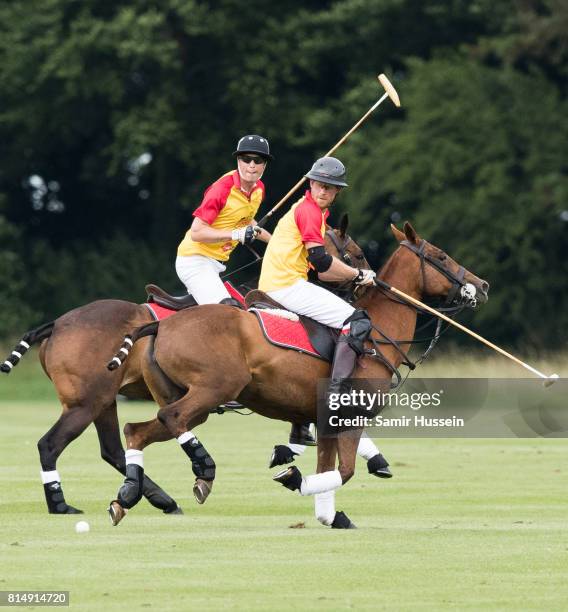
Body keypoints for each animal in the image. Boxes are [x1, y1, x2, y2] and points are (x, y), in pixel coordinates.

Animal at [0, 218, 364, 512]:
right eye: (357, 254)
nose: (360, 287)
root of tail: (57, 323)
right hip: (85, 401)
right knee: (51, 444)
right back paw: (62, 504)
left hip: (103, 400)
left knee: (113, 448)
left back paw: (160, 499)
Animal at [105, 222, 488, 528]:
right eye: (440, 256)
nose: (481, 285)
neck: (377, 334)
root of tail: (159, 324)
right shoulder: (349, 417)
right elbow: (343, 472)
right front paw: (293, 477)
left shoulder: (323, 418)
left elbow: (327, 468)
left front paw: (329, 515)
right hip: (213, 389)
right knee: (171, 418)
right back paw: (204, 470)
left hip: (183, 395)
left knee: (137, 430)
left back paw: (126, 496)